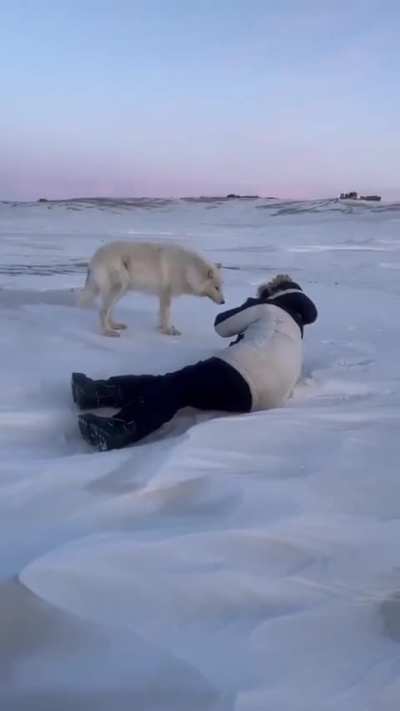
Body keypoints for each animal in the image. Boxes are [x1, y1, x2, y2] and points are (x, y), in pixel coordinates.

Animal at [79, 240, 225, 337]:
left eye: (221, 287)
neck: (188, 270)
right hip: (118, 288)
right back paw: (108, 332)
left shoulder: (162, 296)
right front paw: (168, 331)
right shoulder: (166, 295)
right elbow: (166, 314)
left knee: (110, 310)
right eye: (216, 287)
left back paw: (115, 325)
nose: (224, 302)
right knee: (103, 311)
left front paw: (162, 328)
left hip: (121, 291)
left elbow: (161, 314)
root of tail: (94, 258)